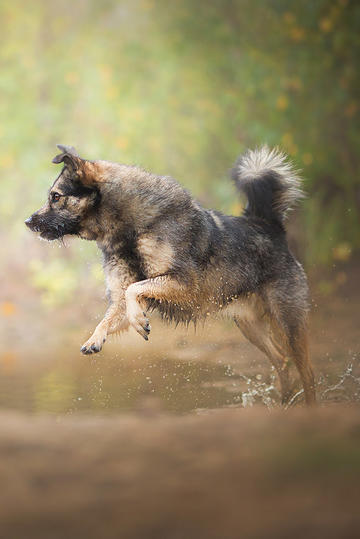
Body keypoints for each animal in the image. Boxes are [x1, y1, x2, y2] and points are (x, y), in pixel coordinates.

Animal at [25, 143, 316, 404]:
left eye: (56, 196)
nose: (28, 222)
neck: (130, 230)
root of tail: (269, 225)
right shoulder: (121, 297)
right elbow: (110, 315)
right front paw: (96, 338)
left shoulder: (185, 284)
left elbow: (135, 289)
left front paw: (139, 321)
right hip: (250, 327)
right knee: (283, 363)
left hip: (288, 324)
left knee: (306, 373)